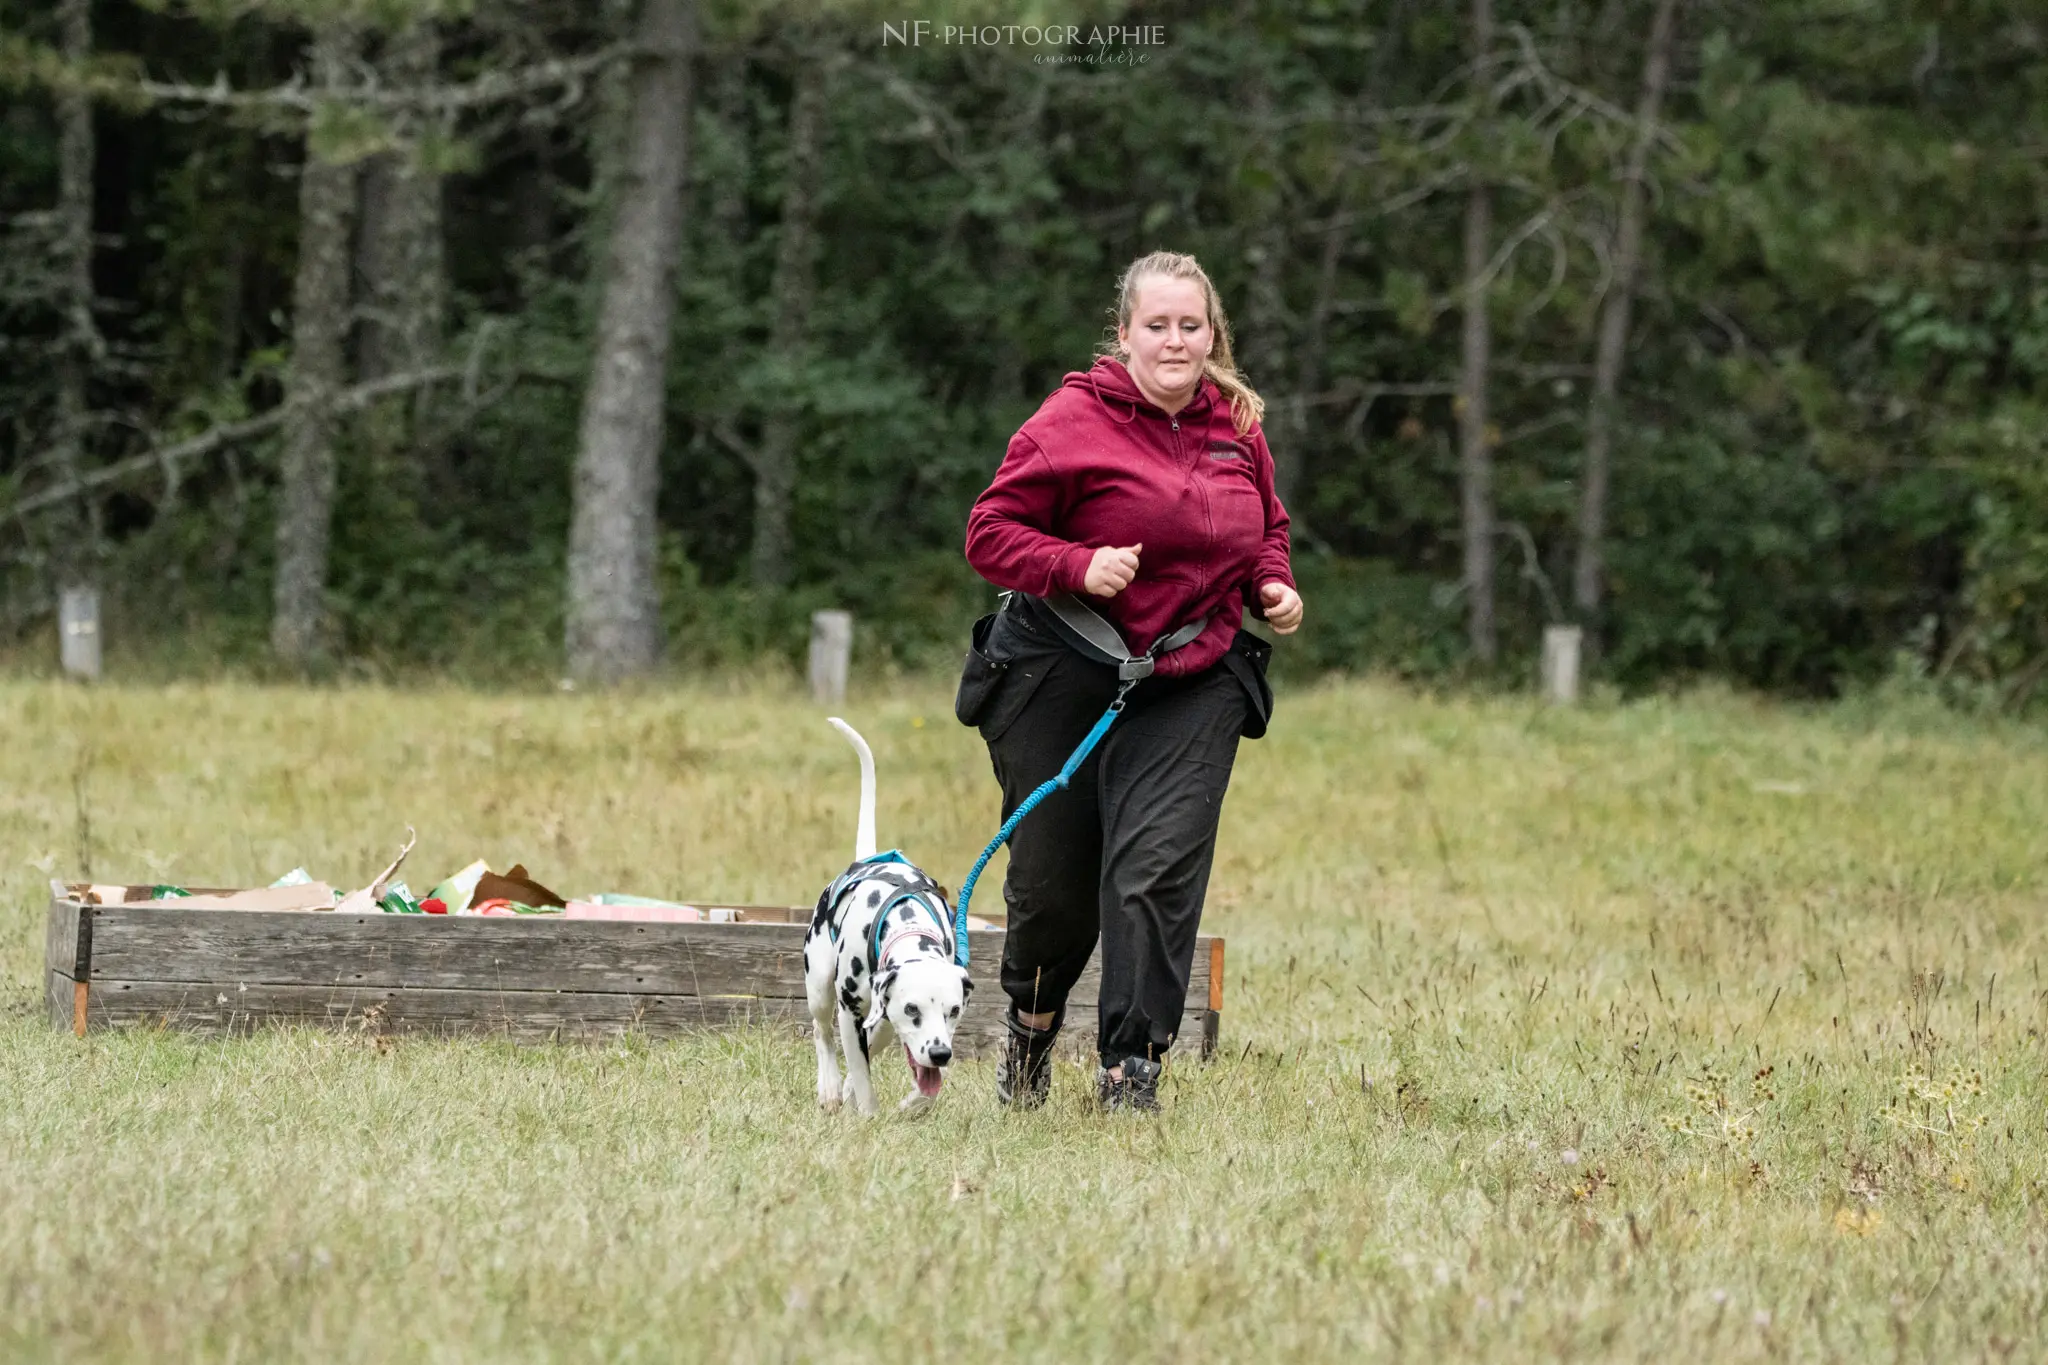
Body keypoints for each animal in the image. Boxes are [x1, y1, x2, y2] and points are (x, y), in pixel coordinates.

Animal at [802, 720, 970, 1113]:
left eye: (954, 1010)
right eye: (912, 1008)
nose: (940, 1054)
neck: (906, 925)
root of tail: (869, 856)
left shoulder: (891, 1020)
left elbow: (909, 1074)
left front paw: (911, 1105)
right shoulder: (850, 1012)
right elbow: (861, 1074)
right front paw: (866, 1111)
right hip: (819, 985)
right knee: (821, 1031)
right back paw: (830, 1087)